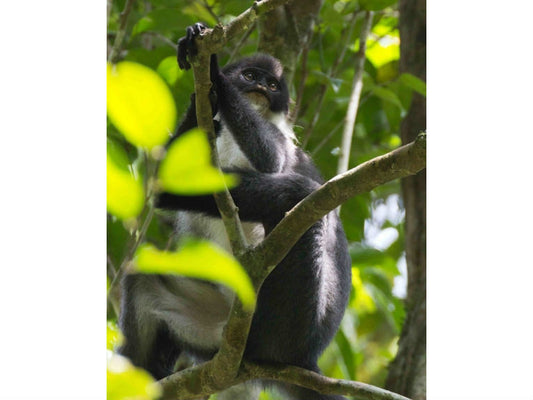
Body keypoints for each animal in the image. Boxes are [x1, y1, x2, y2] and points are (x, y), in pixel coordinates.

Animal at [119, 22, 354, 400]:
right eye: (250, 76)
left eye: (271, 85)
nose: (259, 88)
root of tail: (306, 359)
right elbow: (175, 180)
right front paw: (202, 88)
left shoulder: (283, 142)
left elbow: (273, 161)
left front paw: (213, 73)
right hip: (214, 329)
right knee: (142, 275)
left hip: (290, 323)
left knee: (300, 194)